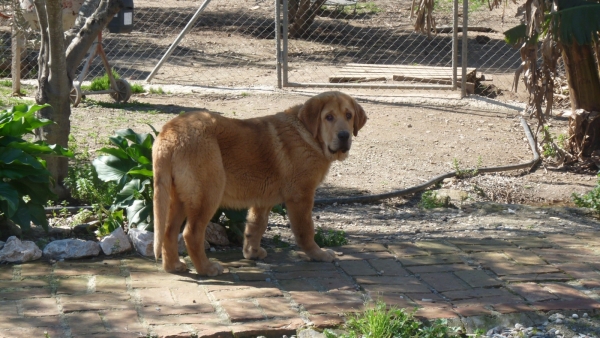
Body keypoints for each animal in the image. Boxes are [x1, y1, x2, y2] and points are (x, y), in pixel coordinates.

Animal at [152, 91, 368, 276]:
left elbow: (256, 226)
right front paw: (318, 254)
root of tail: (169, 133)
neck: (308, 134)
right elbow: (306, 230)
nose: (344, 136)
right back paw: (207, 268)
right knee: (191, 233)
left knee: (169, 231)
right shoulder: (301, 196)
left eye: (349, 115)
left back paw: (173, 266)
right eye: (329, 117)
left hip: (178, 197)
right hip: (207, 194)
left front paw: (252, 252)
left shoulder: (263, 199)